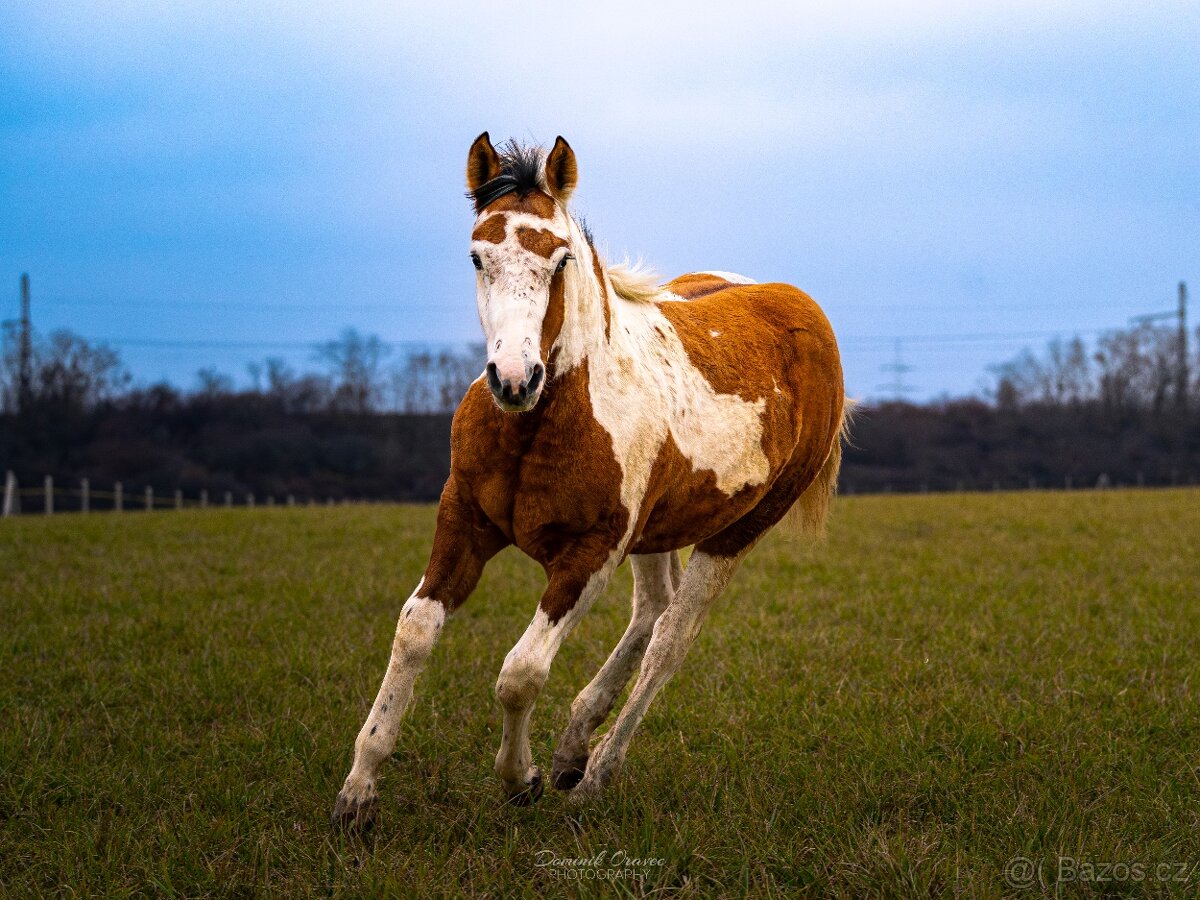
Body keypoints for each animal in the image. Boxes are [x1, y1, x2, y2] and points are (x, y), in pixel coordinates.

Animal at [332, 132, 849, 830]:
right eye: (477, 255)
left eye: (560, 259)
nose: (513, 378)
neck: (539, 424)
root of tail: (799, 305)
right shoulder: (463, 520)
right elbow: (415, 630)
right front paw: (359, 790)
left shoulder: (590, 556)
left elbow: (521, 671)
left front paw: (519, 778)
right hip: (658, 533)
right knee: (653, 610)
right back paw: (574, 746)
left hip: (738, 530)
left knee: (670, 638)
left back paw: (595, 771)